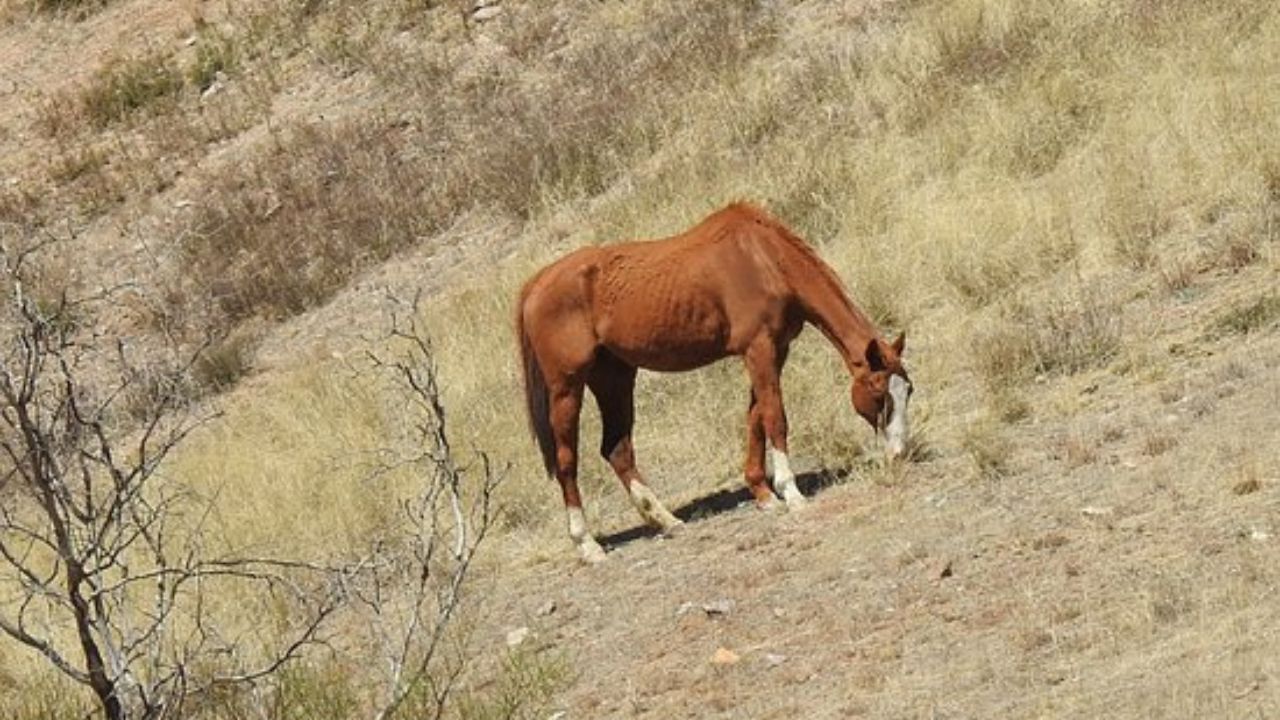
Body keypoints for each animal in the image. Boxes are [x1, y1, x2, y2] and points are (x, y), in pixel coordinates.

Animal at [514, 202, 916, 561]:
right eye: (880, 394)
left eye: (908, 391)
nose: (899, 453)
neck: (763, 258)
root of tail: (535, 284)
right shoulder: (759, 349)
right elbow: (776, 418)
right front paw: (791, 493)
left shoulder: (774, 351)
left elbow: (756, 419)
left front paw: (763, 494)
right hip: (567, 388)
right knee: (567, 460)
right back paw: (588, 545)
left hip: (614, 378)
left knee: (617, 449)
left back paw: (667, 520)